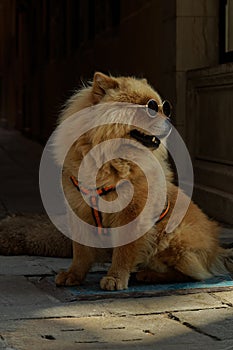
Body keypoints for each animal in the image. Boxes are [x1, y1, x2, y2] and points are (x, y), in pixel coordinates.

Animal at [53, 72, 232, 290]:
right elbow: (80, 251)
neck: (110, 160)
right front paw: (73, 275)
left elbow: (123, 251)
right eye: (151, 108)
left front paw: (115, 278)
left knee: (191, 274)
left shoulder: (132, 213)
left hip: (173, 235)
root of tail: (216, 250)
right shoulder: (79, 209)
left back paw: (149, 275)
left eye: (165, 108)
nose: (170, 121)